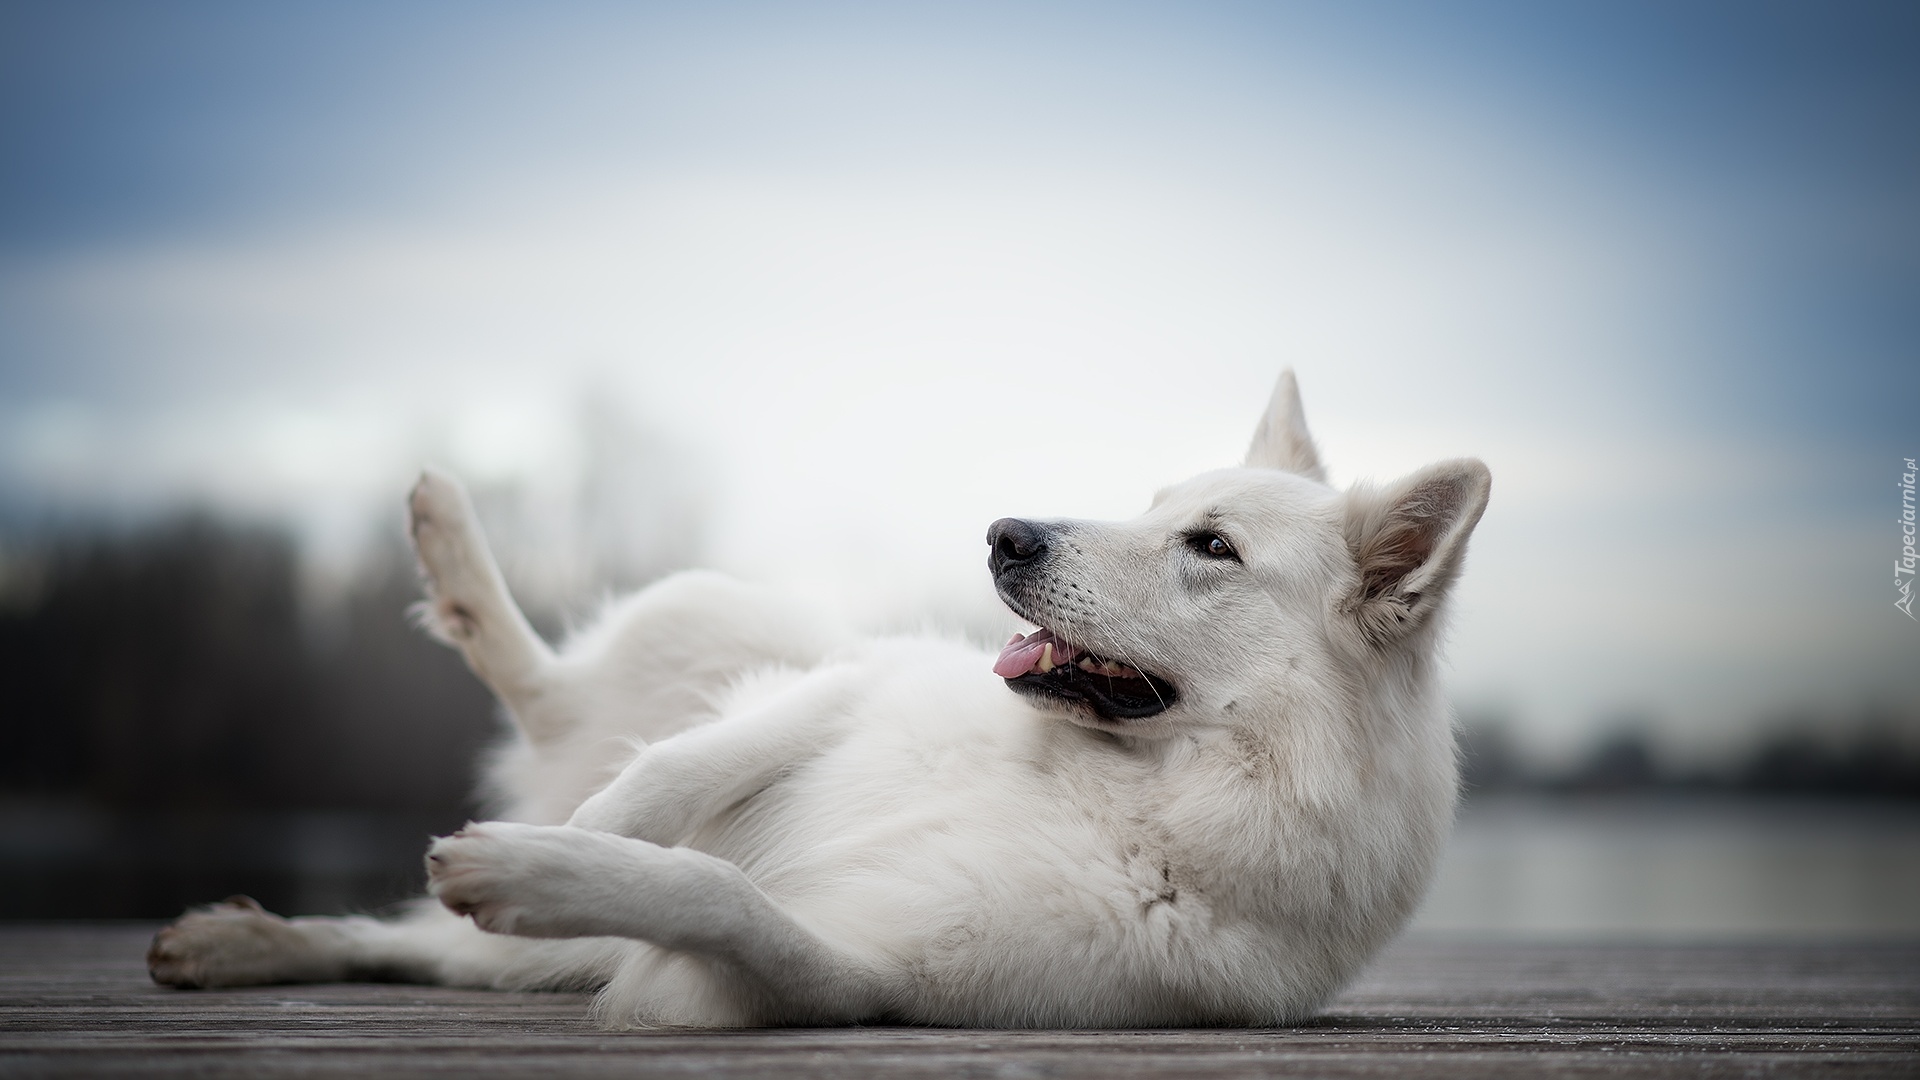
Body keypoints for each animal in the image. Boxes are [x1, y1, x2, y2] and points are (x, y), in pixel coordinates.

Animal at [153, 368, 1497, 1022]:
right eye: (1154, 504)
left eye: (1211, 547)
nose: (1004, 533)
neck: (1129, 791)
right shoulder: (852, 686)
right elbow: (677, 773)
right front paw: (590, 831)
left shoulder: (855, 979)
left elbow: (719, 896)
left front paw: (546, 865)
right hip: (702, 606)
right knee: (551, 701)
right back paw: (449, 547)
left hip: (526, 960)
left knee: (418, 941)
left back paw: (260, 939)